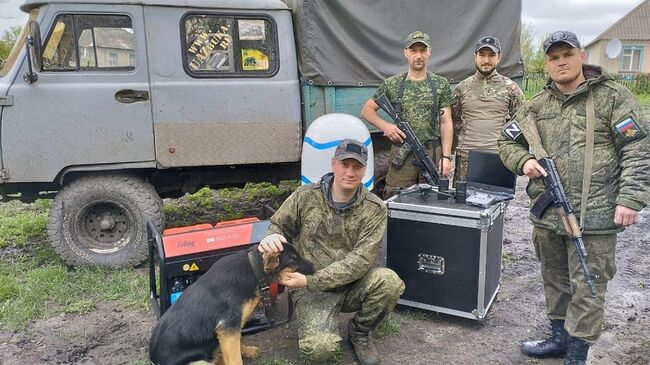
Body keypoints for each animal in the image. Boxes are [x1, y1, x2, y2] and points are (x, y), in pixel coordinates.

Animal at [150, 243, 316, 364]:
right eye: (293, 260)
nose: (315, 267)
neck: (254, 270)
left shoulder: (232, 328)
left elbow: (239, 342)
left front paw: (248, 352)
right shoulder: (228, 328)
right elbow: (235, 358)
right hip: (198, 362)